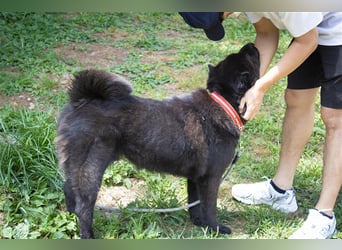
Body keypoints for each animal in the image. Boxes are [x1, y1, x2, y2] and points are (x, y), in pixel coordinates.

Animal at [55, 43, 260, 238]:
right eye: (249, 57)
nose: (251, 44)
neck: (222, 103)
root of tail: (82, 100)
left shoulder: (195, 178)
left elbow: (195, 204)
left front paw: (199, 223)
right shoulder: (211, 178)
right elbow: (209, 207)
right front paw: (215, 228)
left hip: (75, 169)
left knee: (69, 192)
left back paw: (70, 219)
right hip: (91, 171)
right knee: (84, 207)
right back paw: (88, 235)